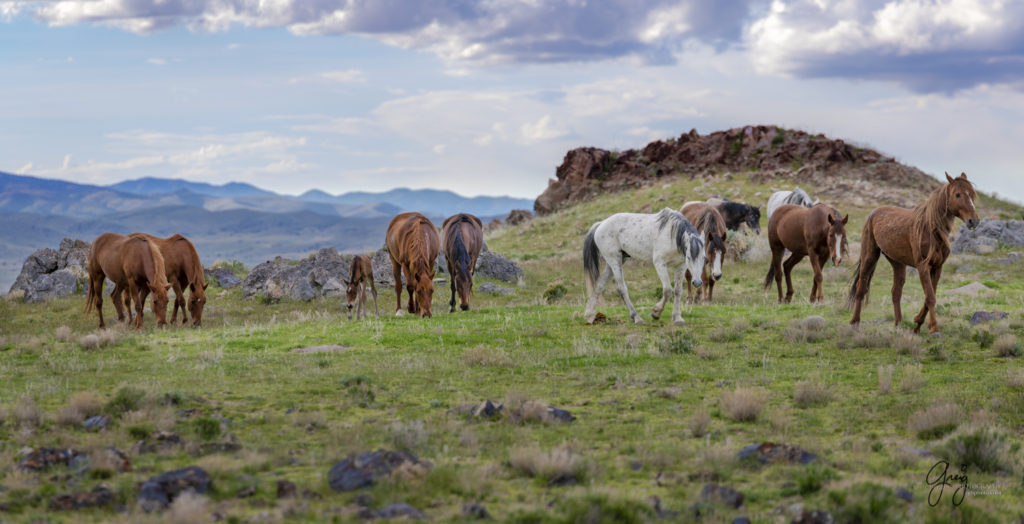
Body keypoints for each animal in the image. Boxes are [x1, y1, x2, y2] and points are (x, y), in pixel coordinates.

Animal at [847, 172, 983, 335]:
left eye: (972, 195)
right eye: (957, 194)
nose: (974, 221)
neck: (931, 229)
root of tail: (873, 213)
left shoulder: (937, 267)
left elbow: (930, 296)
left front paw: (918, 323)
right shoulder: (922, 266)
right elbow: (930, 297)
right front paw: (933, 328)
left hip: (897, 263)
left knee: (896, 292)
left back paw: (898, 324)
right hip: (869, 257)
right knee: (861, 288)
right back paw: (855, 322)